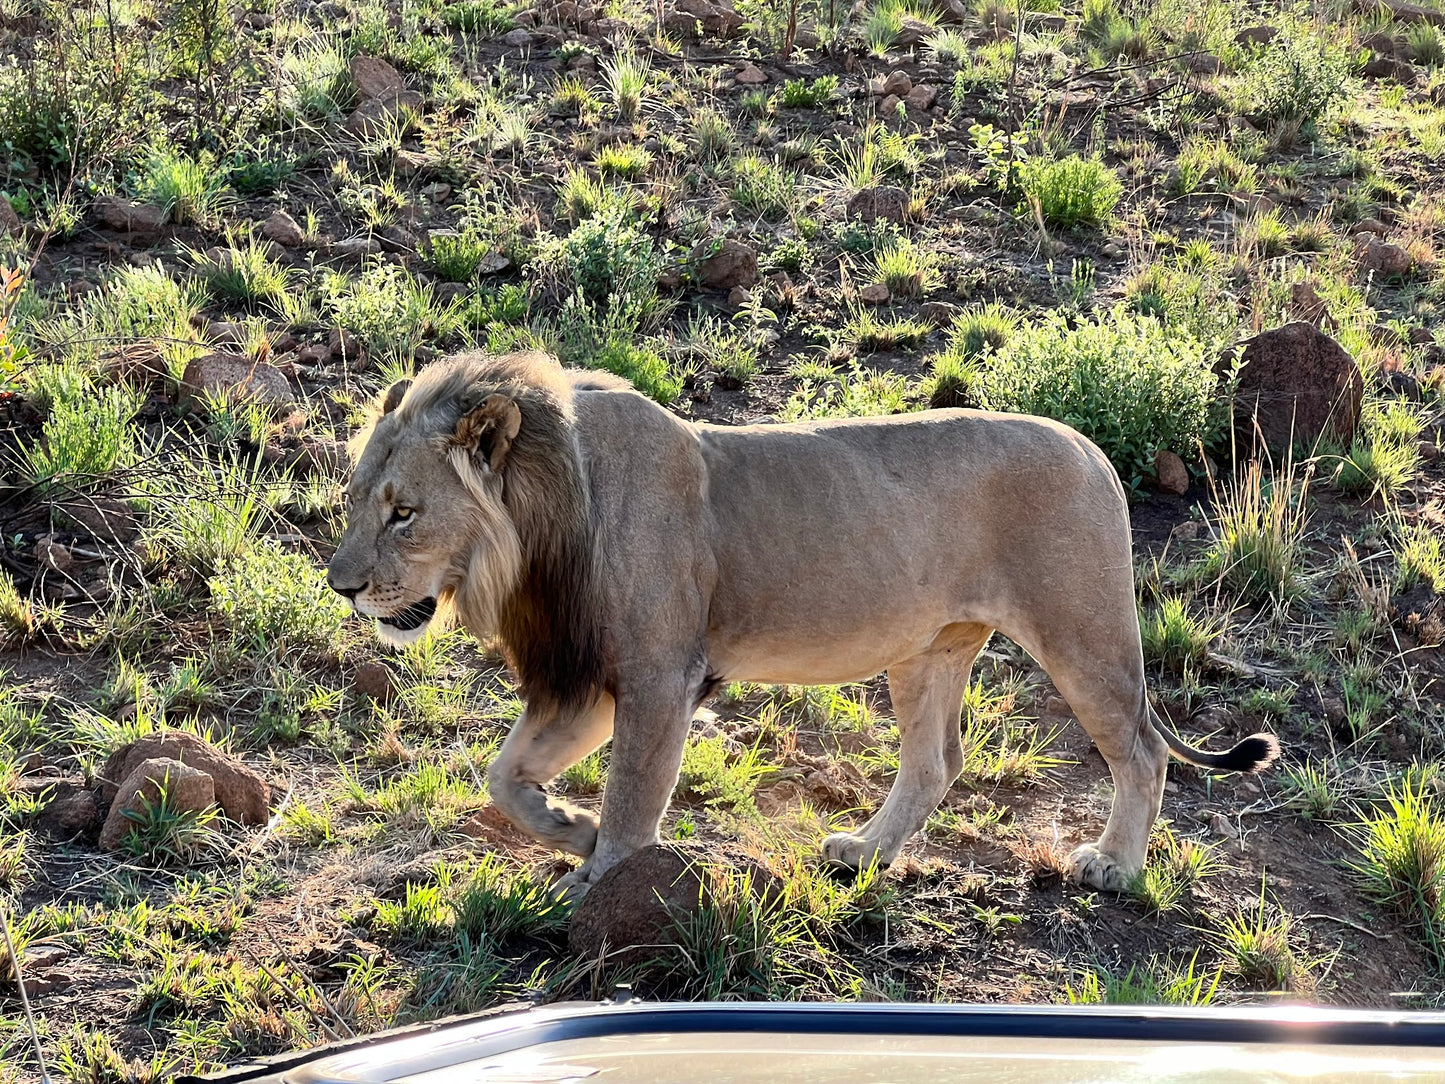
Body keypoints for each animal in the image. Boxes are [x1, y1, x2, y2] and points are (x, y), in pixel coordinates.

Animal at [328, 354, 1277, 901]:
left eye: (404, 513)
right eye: (355, 501)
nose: (342, 587)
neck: (534, 530)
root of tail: (1091, 450)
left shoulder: (659, 675)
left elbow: (634, 792)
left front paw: (599, 877)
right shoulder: (588, 677)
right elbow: (504, 775)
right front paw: (571, 828)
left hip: (1082, 634)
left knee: (1142, 751)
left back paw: (1113, 867)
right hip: (929, 649)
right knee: (934, 763)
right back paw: (865, 852)